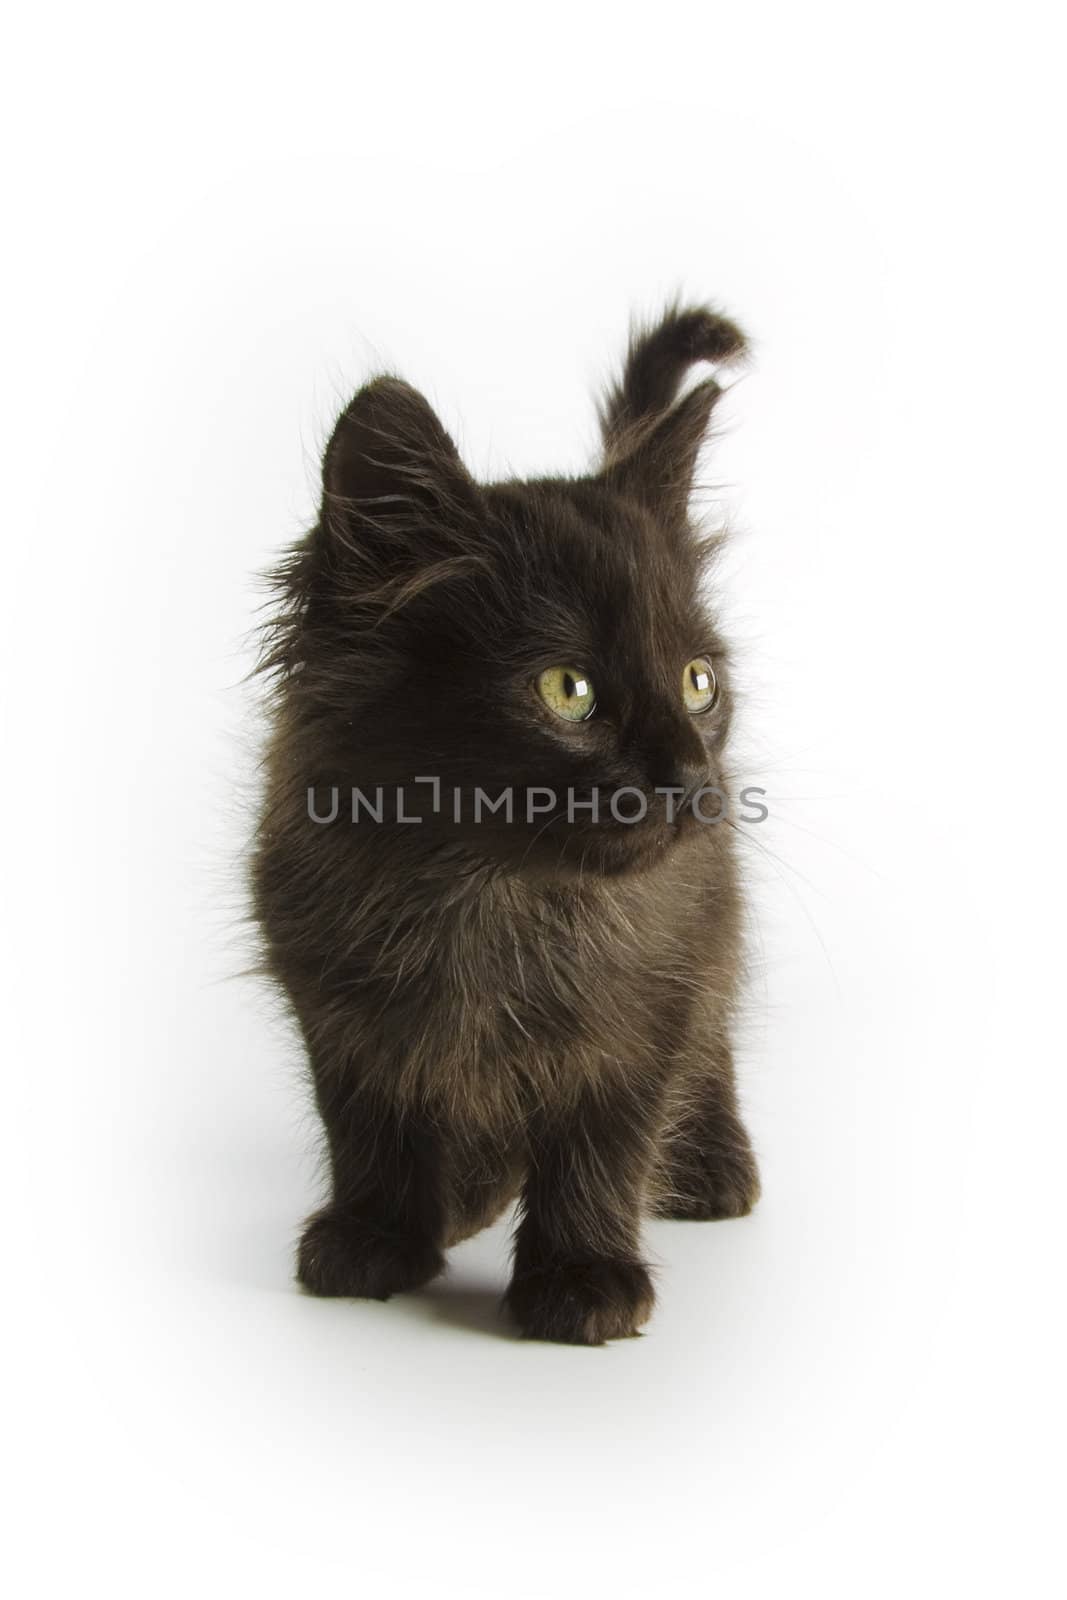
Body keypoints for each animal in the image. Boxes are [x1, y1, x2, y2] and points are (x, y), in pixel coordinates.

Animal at [255, 305, 764, 1344]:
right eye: (567, 690)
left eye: (698, 682)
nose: (694, 778)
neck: (492, 894)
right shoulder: (328, 990)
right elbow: (367, 1118)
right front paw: (378, 1235)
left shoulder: (651, 997)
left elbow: (607, 1136)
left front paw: (582, 1278)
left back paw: (712, 1168)